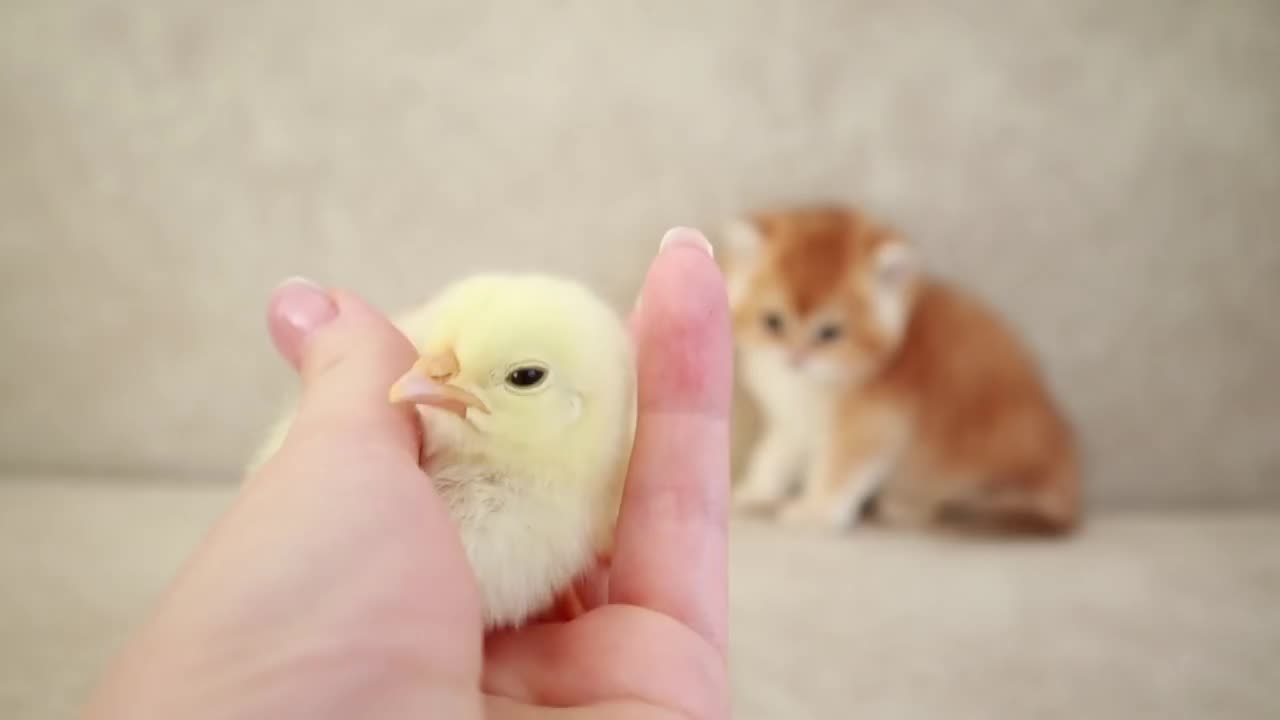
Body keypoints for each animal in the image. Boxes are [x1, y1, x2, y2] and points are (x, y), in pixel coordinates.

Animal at [721, 204, 1080, 530]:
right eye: (773, 322)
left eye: (830, 333)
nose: (795, 357)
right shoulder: (795, 421)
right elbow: (774, 455)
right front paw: (755, 491)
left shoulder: (873, 420)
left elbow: (841, 468)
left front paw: (817, 509)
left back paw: (909, 505)